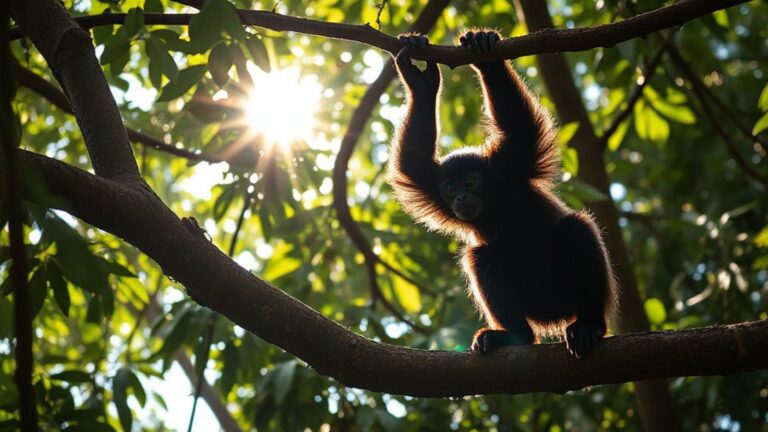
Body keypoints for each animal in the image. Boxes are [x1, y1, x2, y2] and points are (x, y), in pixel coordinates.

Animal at [388, 30, 618, 358]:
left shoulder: (512, 163)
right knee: (481, 256)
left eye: (470, 182)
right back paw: (513, 335)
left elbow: (518, 124)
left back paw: (589, 323)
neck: (495, 201)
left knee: (577, 227)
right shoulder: (430, 185)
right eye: (450, 188)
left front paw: (486, 54)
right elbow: (413, 159)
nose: (460, 198)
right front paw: (421, 82)